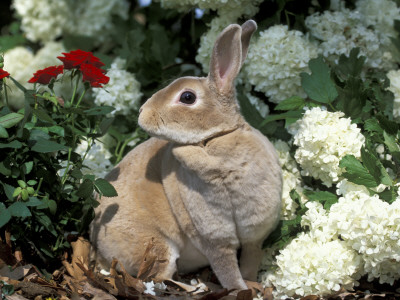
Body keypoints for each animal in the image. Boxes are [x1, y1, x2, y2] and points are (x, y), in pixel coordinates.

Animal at [90, 19, 282, 292]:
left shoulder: (254, 235)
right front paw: (241, 290)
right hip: (156, 247)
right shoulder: (214, 238)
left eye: (188, 97)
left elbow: (249, 262)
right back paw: (195, 287)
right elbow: (227, 271)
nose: (142, 112)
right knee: (159, 278)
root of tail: (96, 243)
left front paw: (252, 285)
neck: (213, 139)